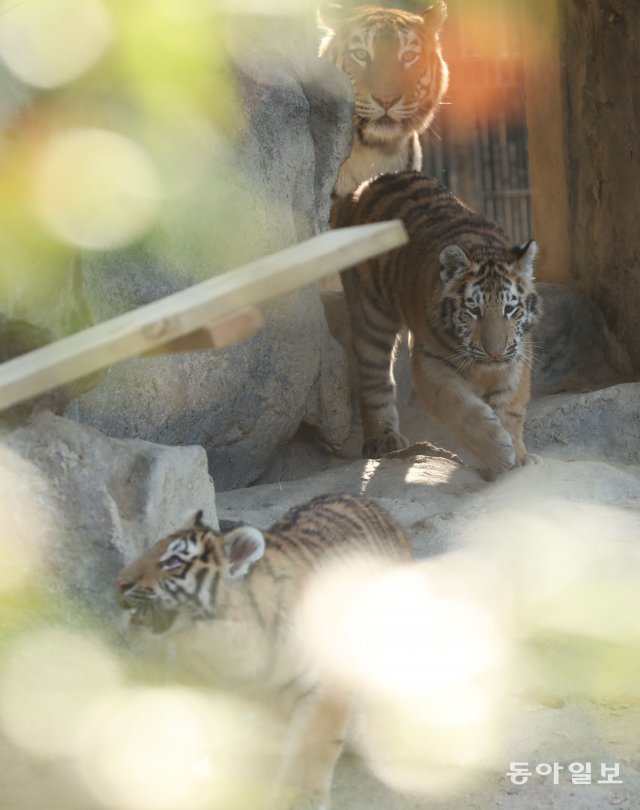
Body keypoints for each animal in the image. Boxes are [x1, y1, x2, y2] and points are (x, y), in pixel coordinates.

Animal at [117, 492, 412, 808]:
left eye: (172, 561)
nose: (119, 583)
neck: (223, 643)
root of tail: (366, 500)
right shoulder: (193, 681)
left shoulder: (325, 683)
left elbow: (314, 740)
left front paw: (300, 797)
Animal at [330, 168, 544, 476]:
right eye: (473, 310)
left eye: (510, 309)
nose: (495, 353)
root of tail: (373, 181)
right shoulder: (430, 362)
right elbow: (459, 407)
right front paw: (498, 451)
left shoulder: (517, 355)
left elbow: (511, 406)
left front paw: (519, 458)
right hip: (371, 314)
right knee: (374, 376)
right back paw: (383, 439)